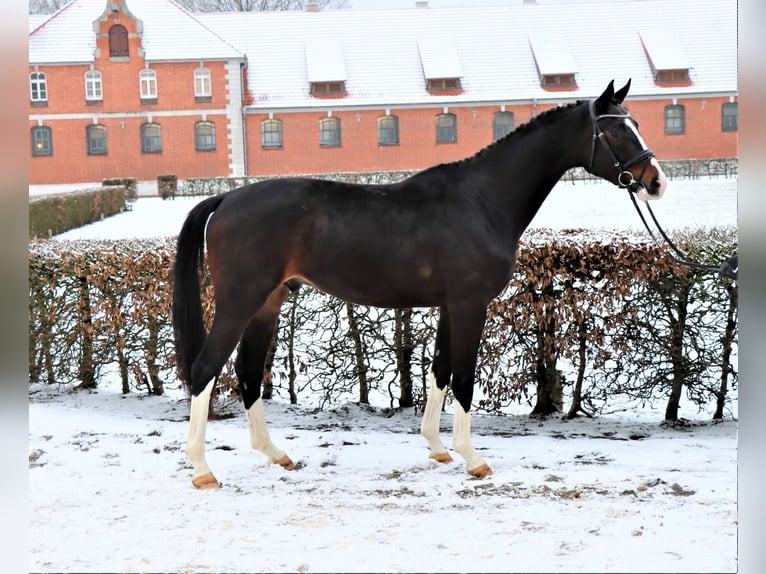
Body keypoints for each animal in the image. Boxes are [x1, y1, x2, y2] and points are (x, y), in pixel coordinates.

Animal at [172, 79, 664, 488]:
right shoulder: (470, 304)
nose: (655, 181)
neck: (483, 200)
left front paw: (438, 447)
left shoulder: (450, 305)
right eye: (616, 132)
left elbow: (440, 370)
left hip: (267, 304)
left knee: (247, 372)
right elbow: (463, 377)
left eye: (637, 124)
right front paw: (473, 458)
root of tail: (226, 198)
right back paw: (202, 470)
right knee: (205, 370)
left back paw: (275, 454)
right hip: (239, 303)